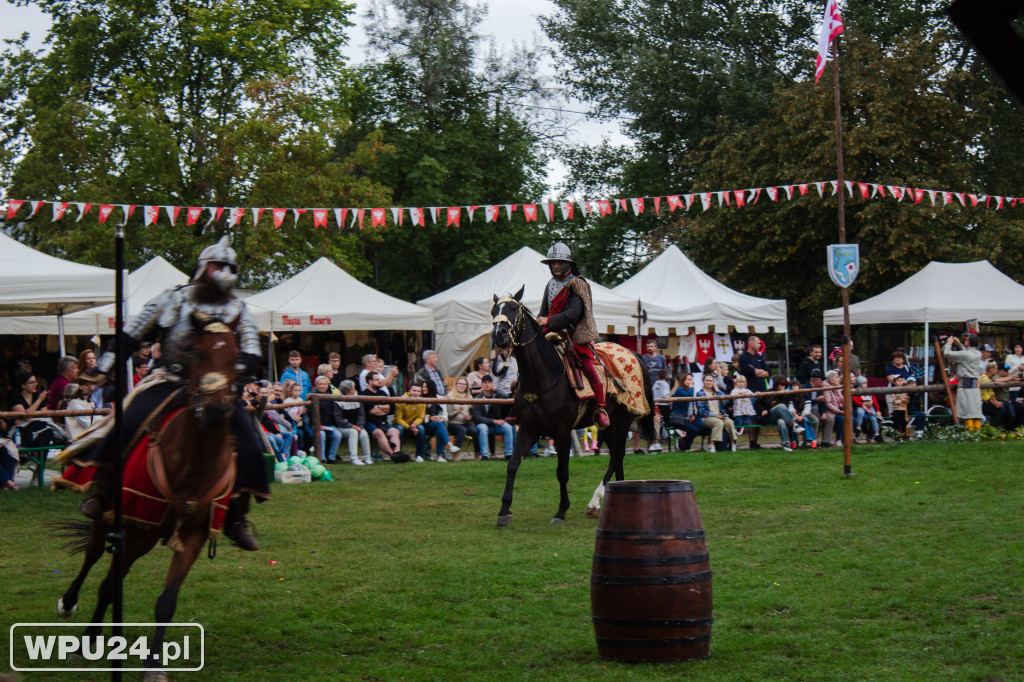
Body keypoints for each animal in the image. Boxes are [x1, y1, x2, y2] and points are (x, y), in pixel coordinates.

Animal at [59, 313, 241, 679]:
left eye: (235, 358)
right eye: (197, 353)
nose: (216, 411)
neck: (191, 465)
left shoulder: (193, 535)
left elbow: (166, 602)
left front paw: (154, 664)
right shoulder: (133, 525)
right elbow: (109, 583)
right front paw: (87, 641)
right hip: (113, 522)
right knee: (92, 557)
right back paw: (71, 608)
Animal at [489, 286, 655, 524]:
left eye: (513, 309)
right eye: (494, 311)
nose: (499, 334)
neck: (543, 377)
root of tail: (635, 355)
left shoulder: (562, 432)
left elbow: (562, 472)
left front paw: (561, 510)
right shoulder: (529, 428)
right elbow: (512, 464)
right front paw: (504, 510)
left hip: (623, 420)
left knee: (617, 455)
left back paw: (595, 501)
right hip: (608, 426)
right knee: (618, 455)